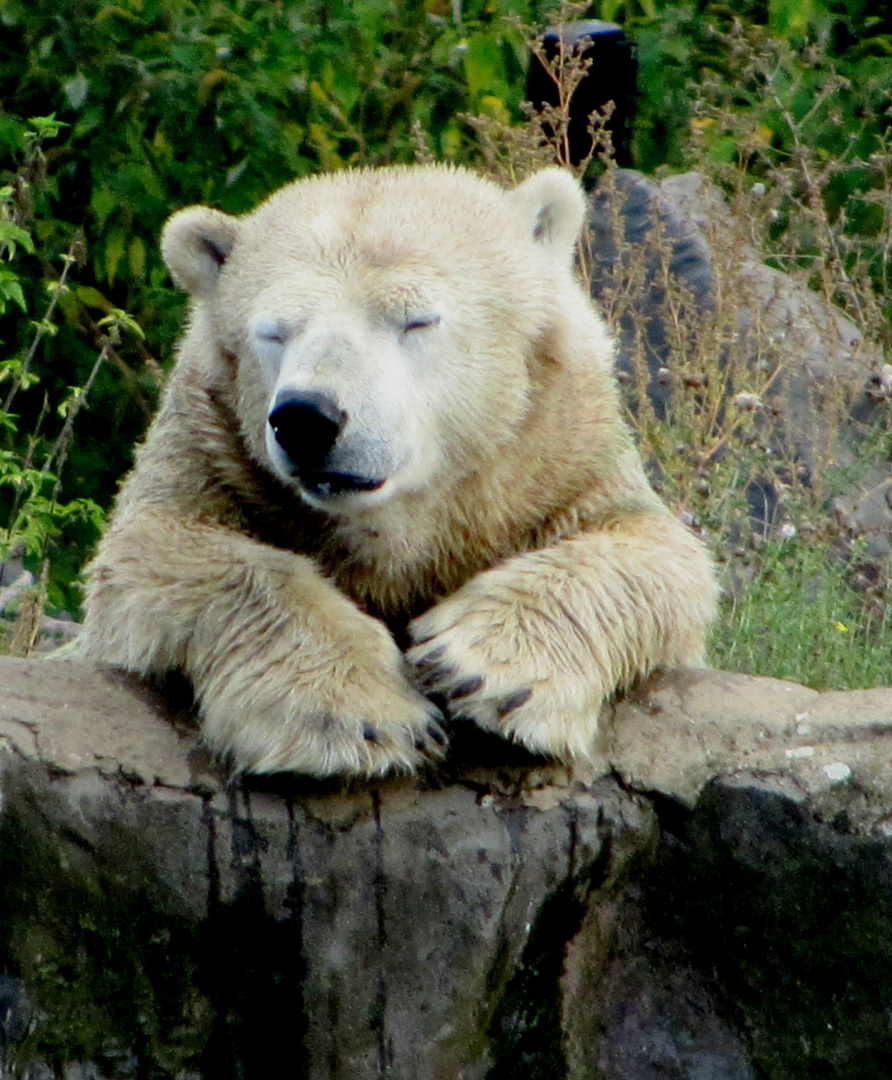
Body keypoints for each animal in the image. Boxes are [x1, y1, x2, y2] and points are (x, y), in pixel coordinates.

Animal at [72, 164, 721, 777]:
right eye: (273, 331)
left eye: (416, 319)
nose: (306, 419)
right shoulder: (210, 453)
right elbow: (159, 553)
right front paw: (367, 714)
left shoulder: (561, 456)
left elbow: (655, 551)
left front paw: (474, 667)